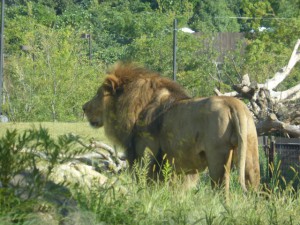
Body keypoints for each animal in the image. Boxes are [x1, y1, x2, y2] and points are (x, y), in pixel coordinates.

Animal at [82, 62, 260, 192]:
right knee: (254, 188)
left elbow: (146, 185)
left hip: (217, 158)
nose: (84, 107)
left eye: (98, 94)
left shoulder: (147, 157)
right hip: (250, 154)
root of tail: (234, 104)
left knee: (222, 191)